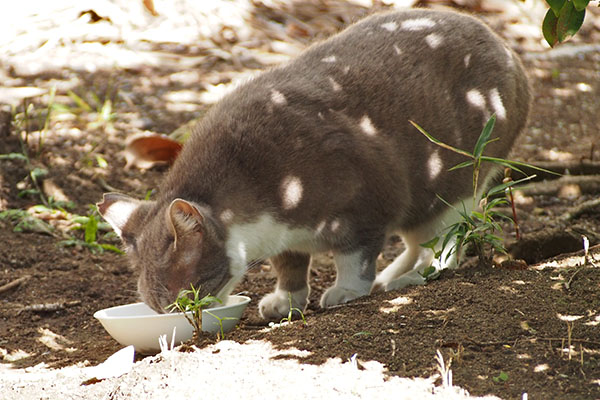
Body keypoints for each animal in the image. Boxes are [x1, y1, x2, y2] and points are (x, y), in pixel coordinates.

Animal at [97, 7, 528, 320]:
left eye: (185, 295)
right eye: (158, 306)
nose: (181, 317)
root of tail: (505, 48)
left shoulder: (368, 200)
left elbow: (356, 256)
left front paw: (346, 291)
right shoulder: (282, 236)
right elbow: (289, 266)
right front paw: (285, 300)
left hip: (456, 183)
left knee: (448, 241)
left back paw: (410, 277)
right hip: (423, 204)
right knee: (418, 239)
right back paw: (395, 274)